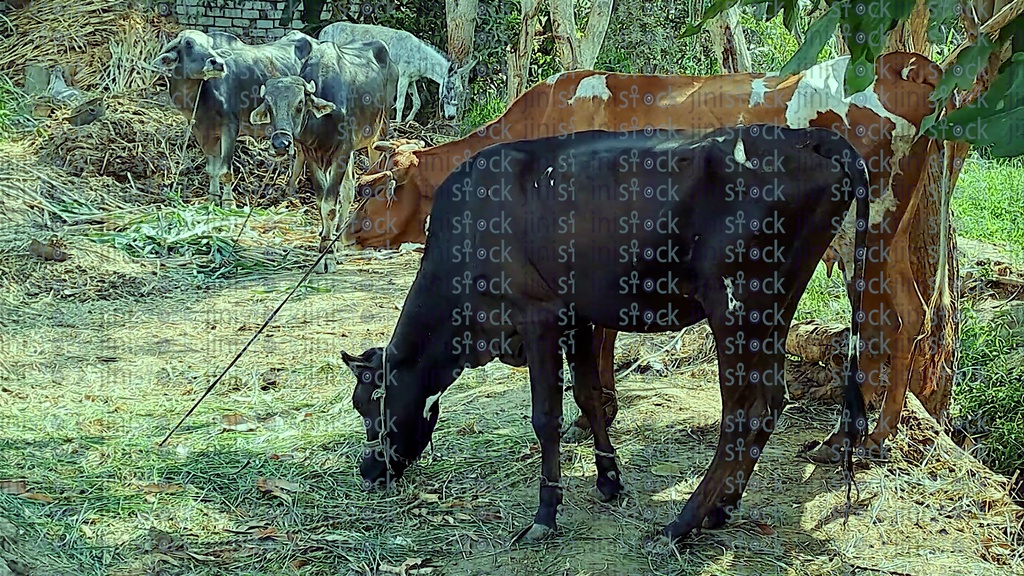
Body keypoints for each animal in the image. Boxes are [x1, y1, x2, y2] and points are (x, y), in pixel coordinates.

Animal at [151, 29, 315, 208]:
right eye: (188, 43)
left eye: (210, 44)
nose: (217, 63)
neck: (199, 97)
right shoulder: (202, 132)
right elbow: (212, 170)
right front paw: (213, 198)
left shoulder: (230, 127)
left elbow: (225, 171)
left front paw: (228, 202)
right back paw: (291, 188)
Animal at [249, 38, 401, 272]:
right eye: (269, 105)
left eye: (299, 104)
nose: (280, 144)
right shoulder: (312, 156)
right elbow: (323, 202)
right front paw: (326, 244)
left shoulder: (341, 153)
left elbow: (330, 205)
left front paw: (327, 256)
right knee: (349, 189)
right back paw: (338, 238)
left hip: (379, 133)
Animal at [317, 21, 473, 121]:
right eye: (451, 87)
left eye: (460, 90)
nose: (451, 117)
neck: (419, 55)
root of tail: (322, 31)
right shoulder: (403, 78)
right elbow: (400, 103)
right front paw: (398, 123)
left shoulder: (411, 80)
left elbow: (417, 102)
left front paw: (408, 121)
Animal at [339, 124, 868, 541]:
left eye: (367, 405)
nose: (367, 471)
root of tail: (803, 136)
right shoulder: (581, 317)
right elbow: (590, 397)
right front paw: (609, 480)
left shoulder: (537, 317)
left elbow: (546, 416)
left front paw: (545, 515)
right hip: (774, 308)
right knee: (771, 402)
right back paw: (721, 508)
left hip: (736, 308)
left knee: (743, 411)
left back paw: (682, 524)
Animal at [350, 49, 950, 461]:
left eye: (373, 189)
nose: (348, 231)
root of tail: (899, 65)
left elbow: (600, 342)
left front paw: (594, 413)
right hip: (889, 234)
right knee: (911, 314)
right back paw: (880, 431)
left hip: (862, 235)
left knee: (878, 323)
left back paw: (853, 438)